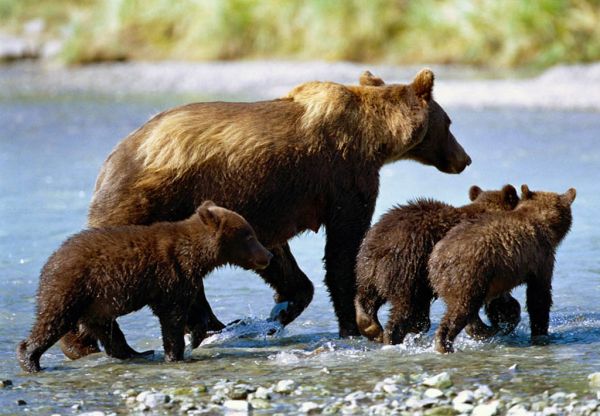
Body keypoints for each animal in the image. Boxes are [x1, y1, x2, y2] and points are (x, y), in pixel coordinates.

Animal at [62, 67, 474, 358]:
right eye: (450, 123)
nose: (465, 159)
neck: (375, 138)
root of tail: (113, 158)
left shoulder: (269, 204)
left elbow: (275, 256)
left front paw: (280, 310)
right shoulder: (343, 176)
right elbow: (344, 248)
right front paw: (359, 325)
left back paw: (211, 327)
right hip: (145, 199)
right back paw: (83, 341)